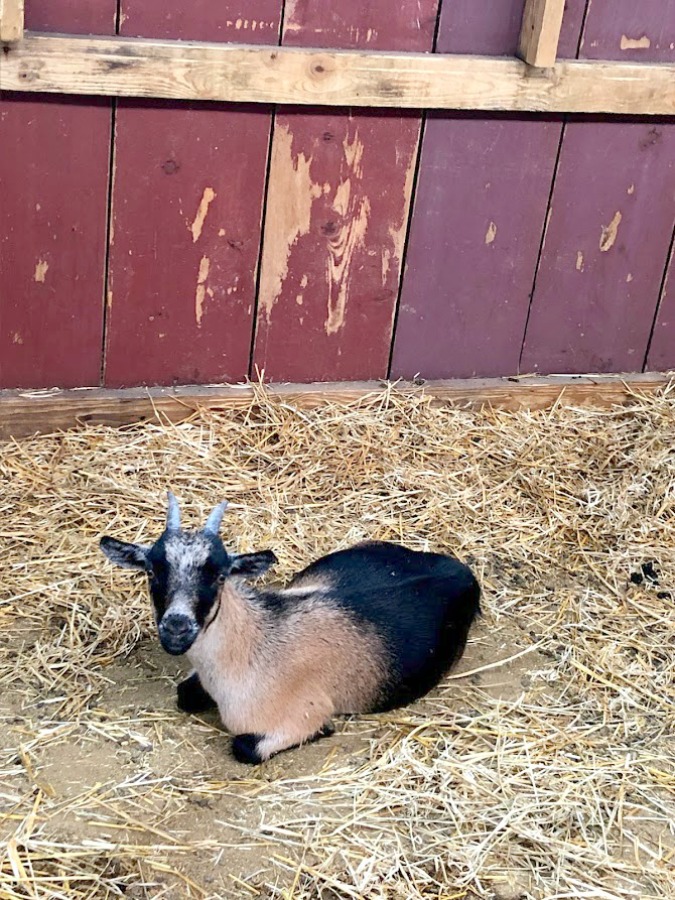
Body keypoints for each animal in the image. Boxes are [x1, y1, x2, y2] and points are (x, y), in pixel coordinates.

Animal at [100, 496, 480, 764]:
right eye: (151, 571)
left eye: (219, 576)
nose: (176, 627)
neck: (254, 642)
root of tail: (459, 570)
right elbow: (185, 694)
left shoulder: (301, 716)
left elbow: (245, 747)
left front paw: (325, 730)